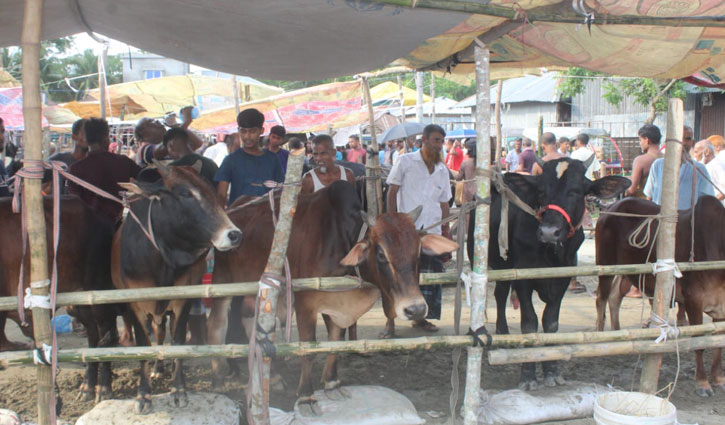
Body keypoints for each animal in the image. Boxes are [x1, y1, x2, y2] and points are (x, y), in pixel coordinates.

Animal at [0, 195, 120, 400]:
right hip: (80, 303)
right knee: (94, 337)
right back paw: (88, 387)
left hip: (99, 291)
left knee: (106, 335)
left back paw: (104, 388)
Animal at [110, 161, 240, 410]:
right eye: (185, 193)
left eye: (211, 190)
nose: (234, 234)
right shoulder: (136, 304)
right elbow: (143, 344)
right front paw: (143, 394)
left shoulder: (183, 302)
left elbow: (178, 340)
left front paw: (179, 389)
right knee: (158, 333)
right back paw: (158, 369)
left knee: (165, 332)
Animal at [208, 181, 458, 416]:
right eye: (380, 253)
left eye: (418, 251)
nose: (415, 309)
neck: (341, 242)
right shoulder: (305, 304)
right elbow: (308, 350)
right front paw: (307, 396)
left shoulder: (336, 306)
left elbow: (335, 342)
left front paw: (331, 384)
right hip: (223, 280)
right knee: (218, 322)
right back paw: (219, 373)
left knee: (249, 321)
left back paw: (272, 375)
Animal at [470, 156, 632, 388]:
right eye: (541, 191)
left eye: (576, 191)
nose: (549, 232)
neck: (550, 252)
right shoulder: (523, 276)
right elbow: (529, 323)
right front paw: (528, 375)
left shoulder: (562, 279)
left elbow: (551, 322)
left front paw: (551, 371)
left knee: (500, 294)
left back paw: (503, 332)